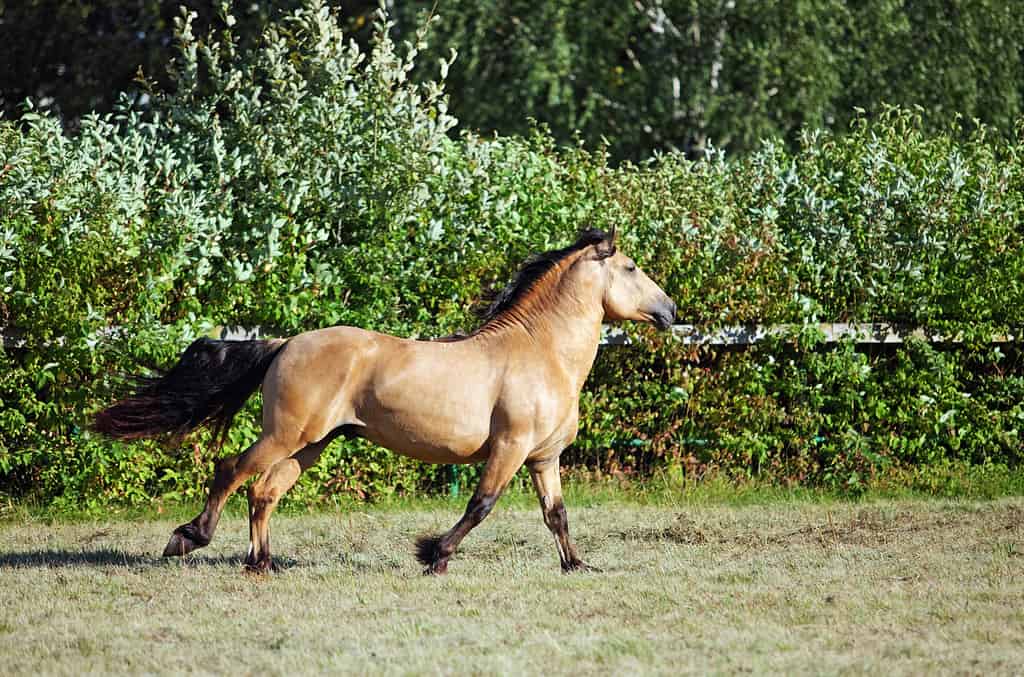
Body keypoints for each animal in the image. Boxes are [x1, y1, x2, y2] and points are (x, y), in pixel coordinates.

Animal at [93, 229, 676, 574]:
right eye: (630, 268)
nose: (669, 311)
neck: (540, 352)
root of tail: (286, 344)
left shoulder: (542, 458)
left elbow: (556, 515)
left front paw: (576, 566)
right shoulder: (509, 448)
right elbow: (480, 505)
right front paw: (433, 556)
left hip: (312, 444)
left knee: (264, 491)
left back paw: (262, 563)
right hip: (287, 434)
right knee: (232, 470)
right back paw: (189, 538)